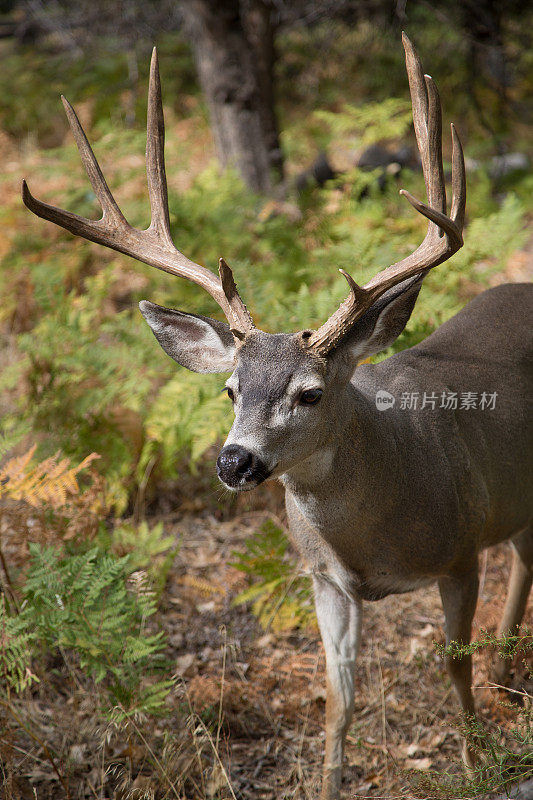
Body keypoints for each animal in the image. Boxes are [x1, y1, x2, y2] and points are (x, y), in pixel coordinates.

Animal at [22, 34, 528, 800]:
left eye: (310, 392)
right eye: (230, 389)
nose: (234, 461)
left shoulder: (462, 550)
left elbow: (452, 664)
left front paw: (475, 763)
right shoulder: (323, 579)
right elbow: (338, 695)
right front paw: (328, 783)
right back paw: (507, 675)